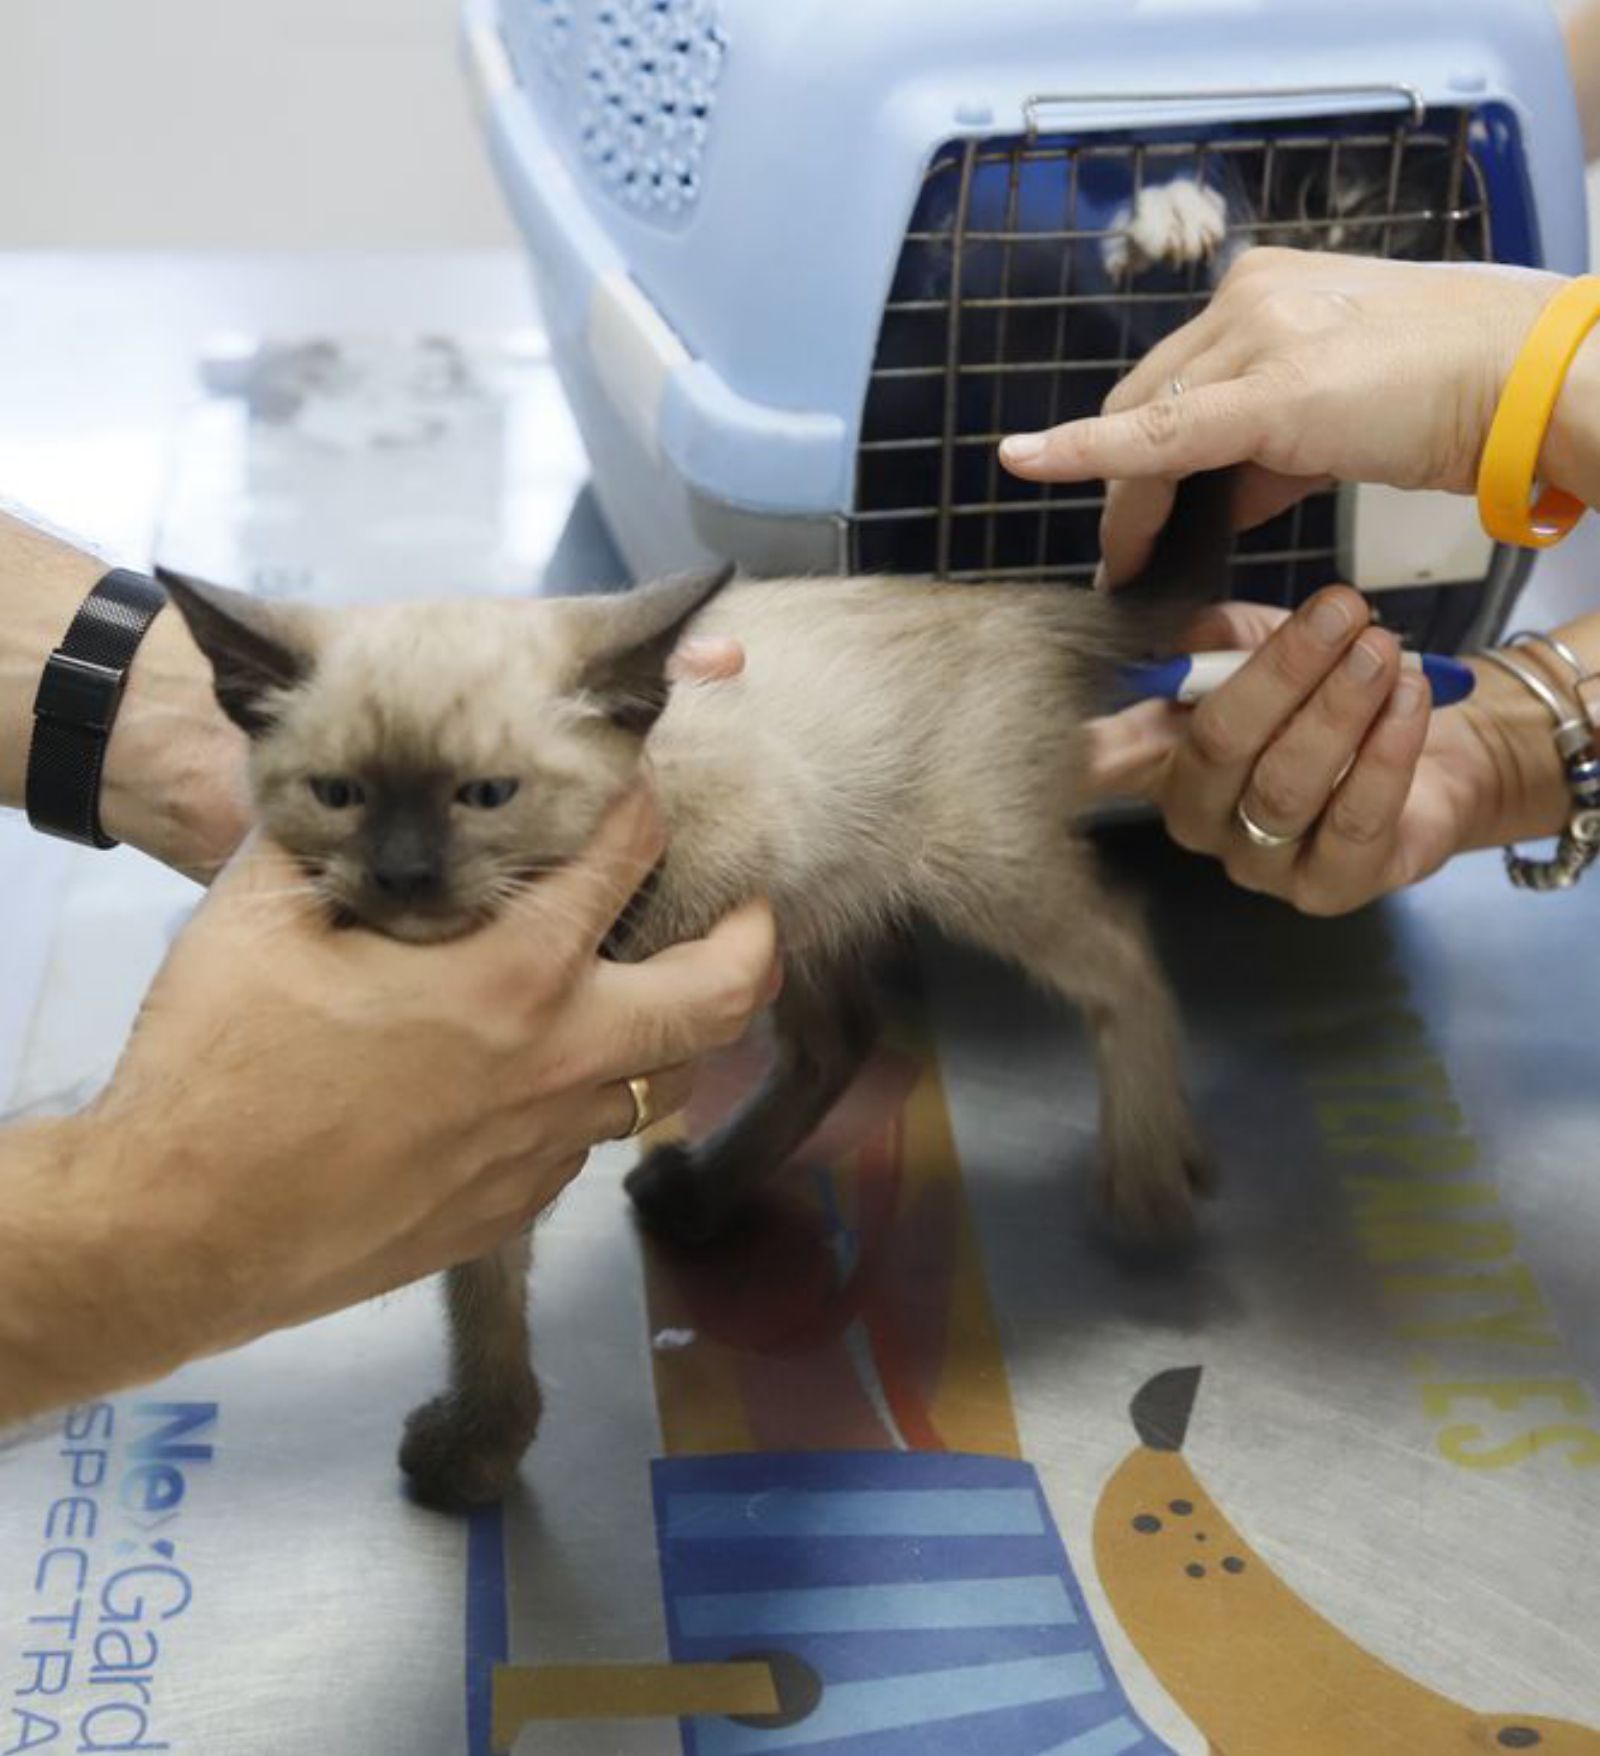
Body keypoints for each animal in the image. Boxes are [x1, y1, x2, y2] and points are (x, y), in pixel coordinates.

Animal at [162, 470, 1229, 1510]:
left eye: (487, 796)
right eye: (339, 796)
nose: (403, 875)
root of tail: (1003, 599)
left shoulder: (742, 838)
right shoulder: (489, 1147)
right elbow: (482, 1290)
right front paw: (484, 1444)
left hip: (968, 870)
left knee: (1126, 951)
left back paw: (1147, 1180)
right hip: (826, 901)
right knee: (843, 1039)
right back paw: (703, 1193)